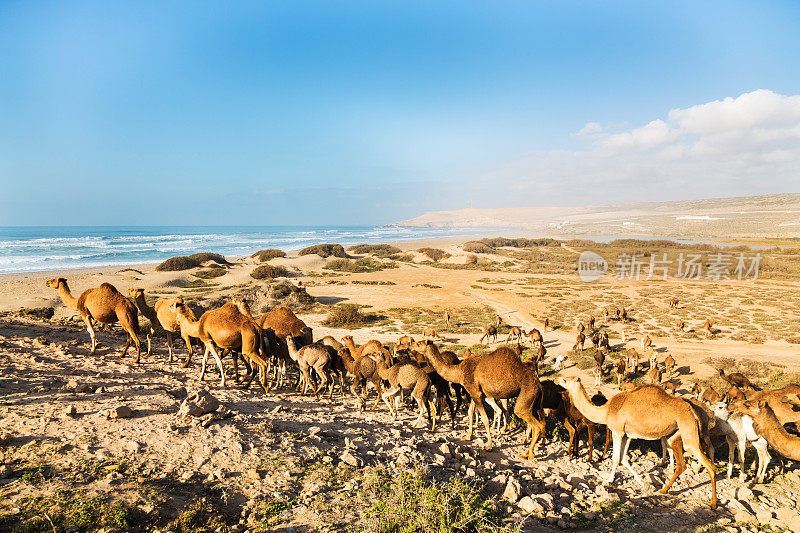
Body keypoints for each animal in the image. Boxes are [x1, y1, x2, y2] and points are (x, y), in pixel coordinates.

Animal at [556, 374, 720, 508]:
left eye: (566, 380)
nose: (557, 380)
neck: (606, 410)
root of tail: (692, 410)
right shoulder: (628, 434)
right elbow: (623, 459)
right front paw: (643, 482)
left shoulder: (617, 431)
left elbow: (616, 458)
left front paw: (609, 479)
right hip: (675, 433)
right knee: (682, 463)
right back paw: (664, 489)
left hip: (688, 431)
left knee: (710, 466)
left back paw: (713, 503)